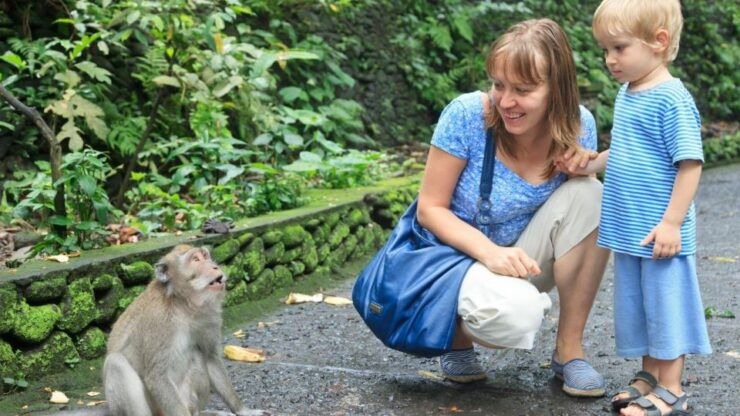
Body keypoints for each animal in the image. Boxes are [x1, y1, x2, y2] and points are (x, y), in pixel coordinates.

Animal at [51, 244, 266, 416]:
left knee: (196, 354)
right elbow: (157, 376)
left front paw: (243, 410)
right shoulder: (159, 320)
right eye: (196, 259)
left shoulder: (208, 316)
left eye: (206, 256)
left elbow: (210, 358)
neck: (182, 304)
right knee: (116, 363)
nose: (215, 266)